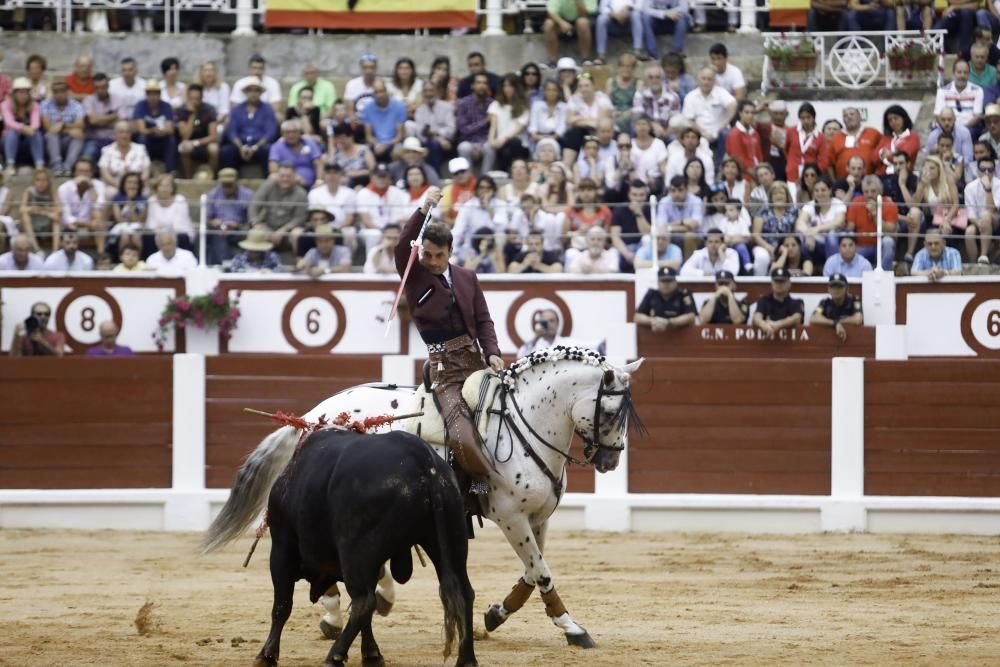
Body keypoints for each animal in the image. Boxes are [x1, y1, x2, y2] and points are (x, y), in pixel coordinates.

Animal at [252, 430, 474, 664]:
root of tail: (422, 456)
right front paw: (372, 653)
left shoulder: (281, 548)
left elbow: (282, 604)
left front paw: (266, 655)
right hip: (451, 538)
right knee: (464, 592)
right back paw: (467, 659)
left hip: (354, 552)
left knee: (363, 602)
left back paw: (333, 656)